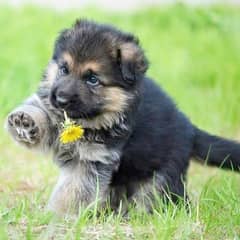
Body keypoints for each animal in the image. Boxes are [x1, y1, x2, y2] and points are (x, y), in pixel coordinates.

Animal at [5, 19, 240, 215]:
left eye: (92, 79)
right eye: (64, 69)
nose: (61, 99)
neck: (88, 119)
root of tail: (190, 129)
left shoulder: (92, 160)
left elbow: (74, 190)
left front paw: (58, 217)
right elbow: (44, 112)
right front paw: (24, 121)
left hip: (161, 177)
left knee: (164, 200)